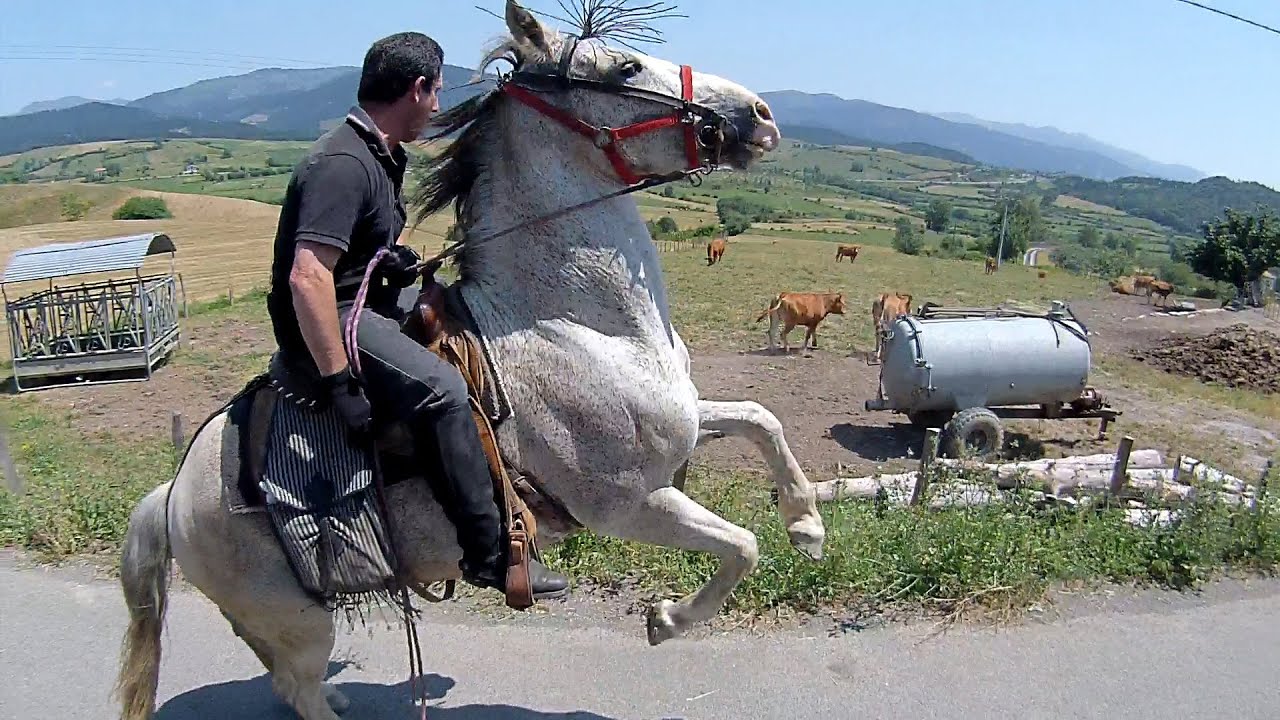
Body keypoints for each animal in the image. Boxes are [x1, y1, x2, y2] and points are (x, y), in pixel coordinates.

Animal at [113, 4, 826, 719]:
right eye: (626, 66)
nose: (760, 114)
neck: (576, 326)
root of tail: (172, 494)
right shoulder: (631, 505)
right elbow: (742, 546)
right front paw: (667, 619)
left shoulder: (688, 421)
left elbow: (762, 419)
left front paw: (806, 522)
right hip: (298, 622)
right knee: (298, 685)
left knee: (291, 683)